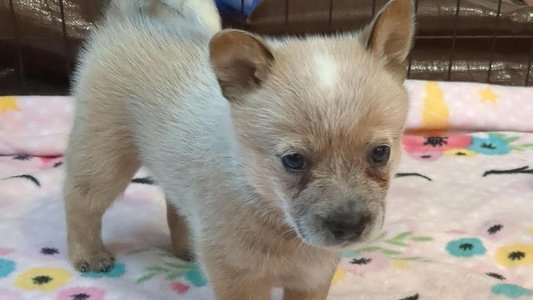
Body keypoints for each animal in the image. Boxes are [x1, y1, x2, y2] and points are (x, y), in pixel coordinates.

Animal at [65, 1, 416, 298]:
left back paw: (186, 247)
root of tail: (134, 15)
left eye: (380, 153)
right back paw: (88, 255)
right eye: (294, 160)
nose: (349, 227)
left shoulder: (312, 277)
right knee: (80, 203)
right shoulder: (238, 278)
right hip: (103, 157)